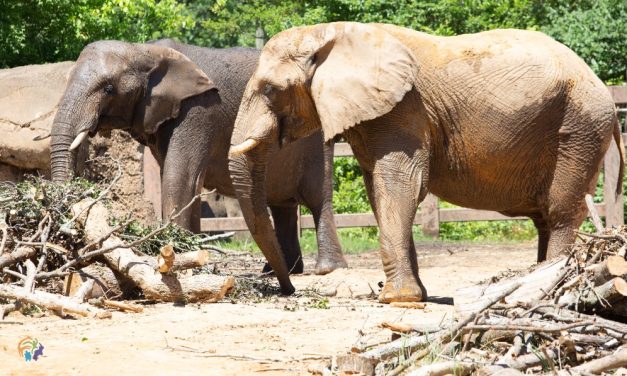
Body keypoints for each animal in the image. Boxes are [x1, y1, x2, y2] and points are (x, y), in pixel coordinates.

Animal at [50, 39, 348, 278]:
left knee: (317, 198)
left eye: (109, 89)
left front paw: (176, 250)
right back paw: (279, 271)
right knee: (281, 204)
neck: (145, 50)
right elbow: (182, 180)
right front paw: (188, 251)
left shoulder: (199, 110)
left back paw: (327, 269)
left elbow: (180, 177)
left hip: (315, 136)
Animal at [229, 22, 624, 302]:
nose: (289, 289)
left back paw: (545, 281)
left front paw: (395, 299)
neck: (332, 35)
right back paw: (532, 279)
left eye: (270, 90)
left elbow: (399, 184)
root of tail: (600, 84)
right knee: (544, 217)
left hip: (579, 129)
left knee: (560, 212)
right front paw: (414, 295)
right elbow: (379, 190)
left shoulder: (404, 109)